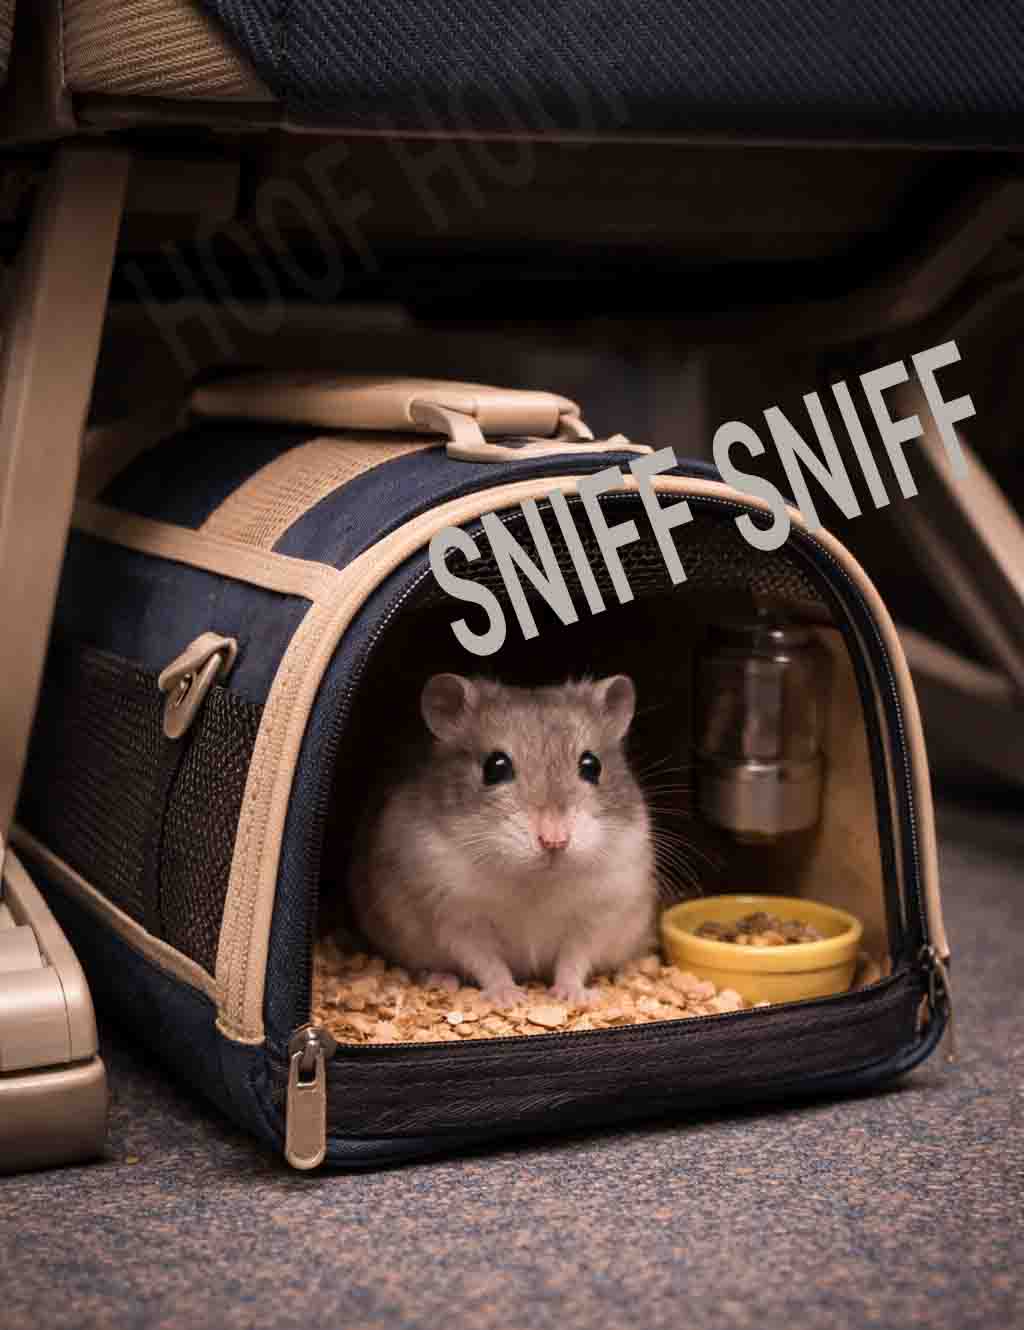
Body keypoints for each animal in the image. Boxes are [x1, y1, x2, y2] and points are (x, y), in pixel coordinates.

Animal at [348, 673, 656, 1007]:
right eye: (495, 767)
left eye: (592, 765)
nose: (555, 841)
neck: (536, 880)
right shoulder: (456, 918)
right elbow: (487, 963)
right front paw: (510, 998)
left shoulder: (596, 916)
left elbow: (574, 959)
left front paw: (573, 996)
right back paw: (441, 980)